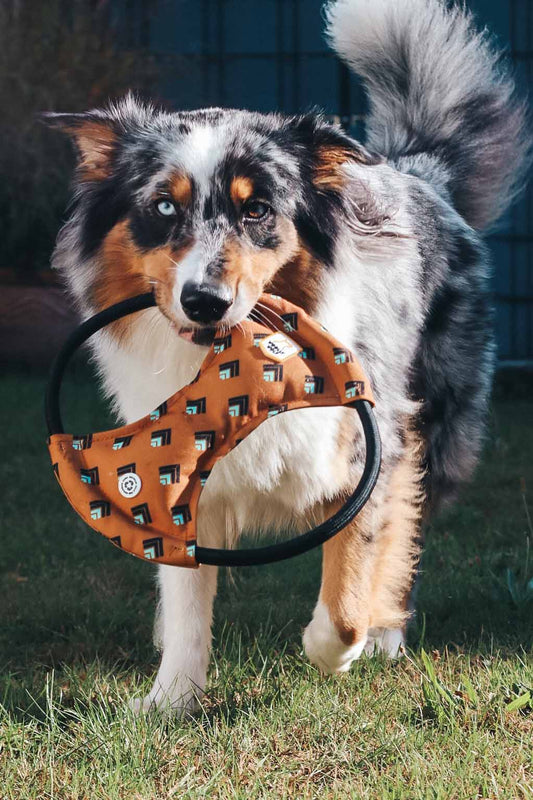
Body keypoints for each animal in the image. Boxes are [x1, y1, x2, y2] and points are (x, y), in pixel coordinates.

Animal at [45, 0, 528, 712]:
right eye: (162, 206)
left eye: (258, 211)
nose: (205, 302)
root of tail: (417, 171)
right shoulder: (174, 470)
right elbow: (186, 597)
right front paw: (172, 698)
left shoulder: (369, 450)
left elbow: (354, 571)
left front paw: (338, 649)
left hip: (439, 425)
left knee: (407, 531)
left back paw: (386, 634)